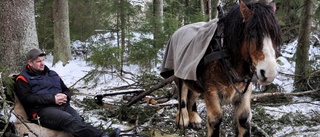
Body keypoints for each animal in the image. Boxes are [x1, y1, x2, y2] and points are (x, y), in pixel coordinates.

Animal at [161, 1, 282, 137]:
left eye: (275, 36)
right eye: (252, 34)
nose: (269, 73)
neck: (225, 53)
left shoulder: (244, 91)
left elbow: (244, 118)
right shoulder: (211, 91)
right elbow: (215, 120)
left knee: (192, 94)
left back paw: (194, 118)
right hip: (180, 74)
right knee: (182, 94)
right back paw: (183, 118)